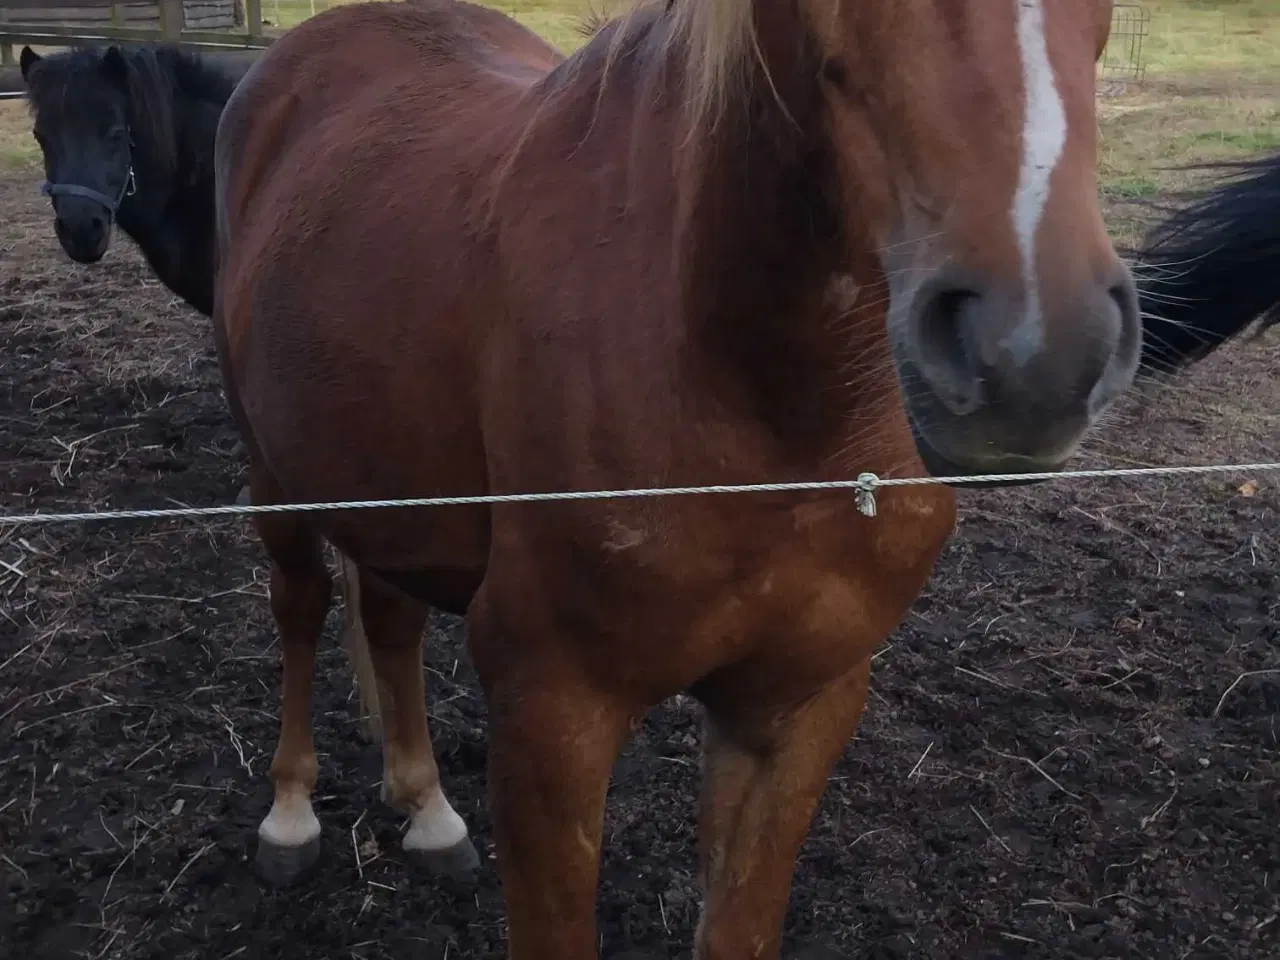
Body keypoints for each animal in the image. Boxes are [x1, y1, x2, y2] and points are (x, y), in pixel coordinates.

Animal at [213, 0, 1140, 954]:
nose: (1036, 356)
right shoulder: (551, 710)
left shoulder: (796, 711)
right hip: (274, 471)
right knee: (300, 607)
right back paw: (290, 815)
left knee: (391, 621)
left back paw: (427, 810)